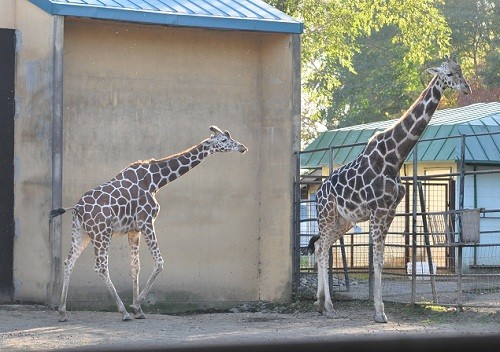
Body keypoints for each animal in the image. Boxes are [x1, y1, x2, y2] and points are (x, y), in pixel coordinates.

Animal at [48, 126, 248, 322]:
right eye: (224, 140)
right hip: (101, 234)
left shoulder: (134, 230)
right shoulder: (146, 221)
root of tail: (77, 208)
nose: (242, 147)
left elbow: (135, 267)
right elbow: (159, 262)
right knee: (100, 267)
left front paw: (139, 310)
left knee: (69, 262)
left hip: (81, 233)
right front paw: (135, 306)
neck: (155, 181)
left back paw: (62, 312)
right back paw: (123, 312)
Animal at [314, 57, 470, 322]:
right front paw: (379, 312)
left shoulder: (390, 211)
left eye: (461, 71)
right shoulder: (378, 210)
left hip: (343, 222)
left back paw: (320, 304)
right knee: (323, 250)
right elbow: (377, 261)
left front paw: (380, 309)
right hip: (327, 216)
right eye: (449, 74)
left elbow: (379, 259)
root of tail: (316, 194)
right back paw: (329, 307)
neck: (394, 159)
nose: (467, 88)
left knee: (319, 247)